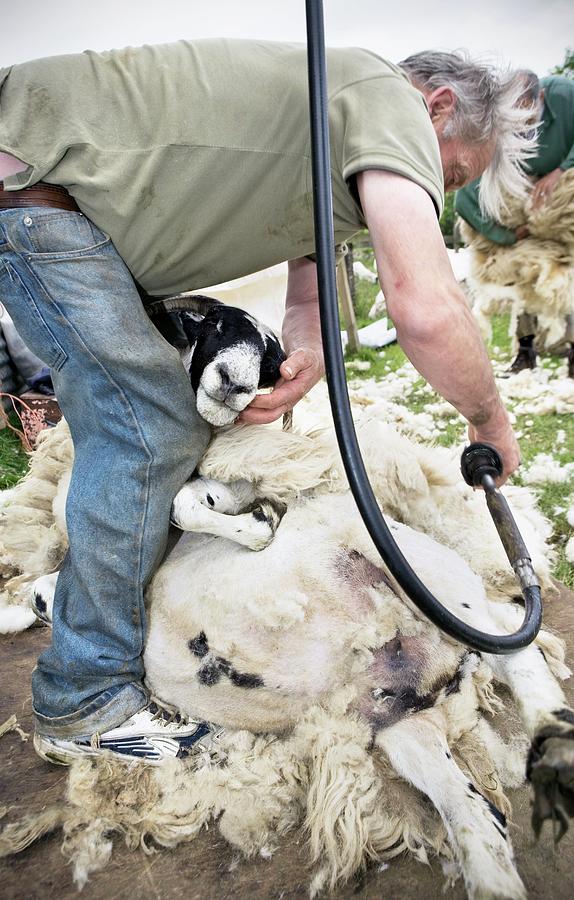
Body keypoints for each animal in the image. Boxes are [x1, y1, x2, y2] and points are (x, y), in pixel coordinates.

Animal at [0, 410, 572, 900]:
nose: (39, 600)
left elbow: (185, 500)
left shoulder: (224, 485)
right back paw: (493, 875)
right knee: (474, 814)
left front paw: (256, 528)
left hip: (422, 579)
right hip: (401, 725)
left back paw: (552, 728)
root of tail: (442, 670)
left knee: (513, 642)